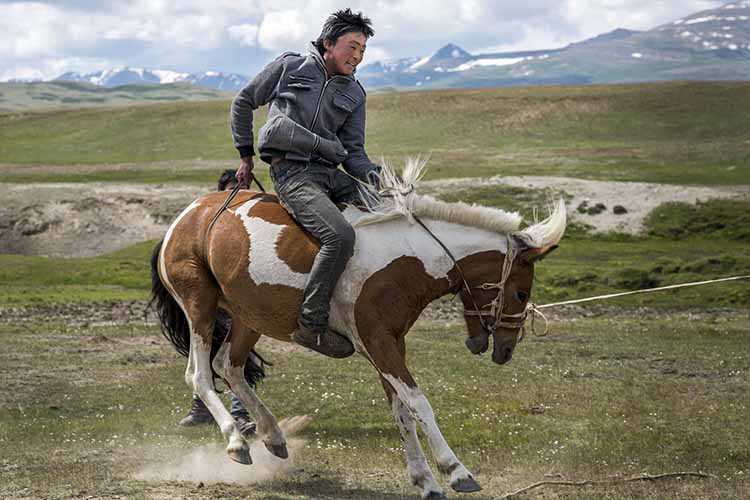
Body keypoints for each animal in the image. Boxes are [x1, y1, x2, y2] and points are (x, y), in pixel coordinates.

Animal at [150, 158, 568, 498]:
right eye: (520, 293)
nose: (505, 350)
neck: (406, 257)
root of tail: (186, 217)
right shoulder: (378, 342)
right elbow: (418, 403)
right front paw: (455, 471)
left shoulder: (391, 345)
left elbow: (401, 409)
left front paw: (425, 481)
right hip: (201, 307)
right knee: (199, 375)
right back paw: (236, 441)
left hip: (249, 317)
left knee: (230, 366)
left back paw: (272, 435)